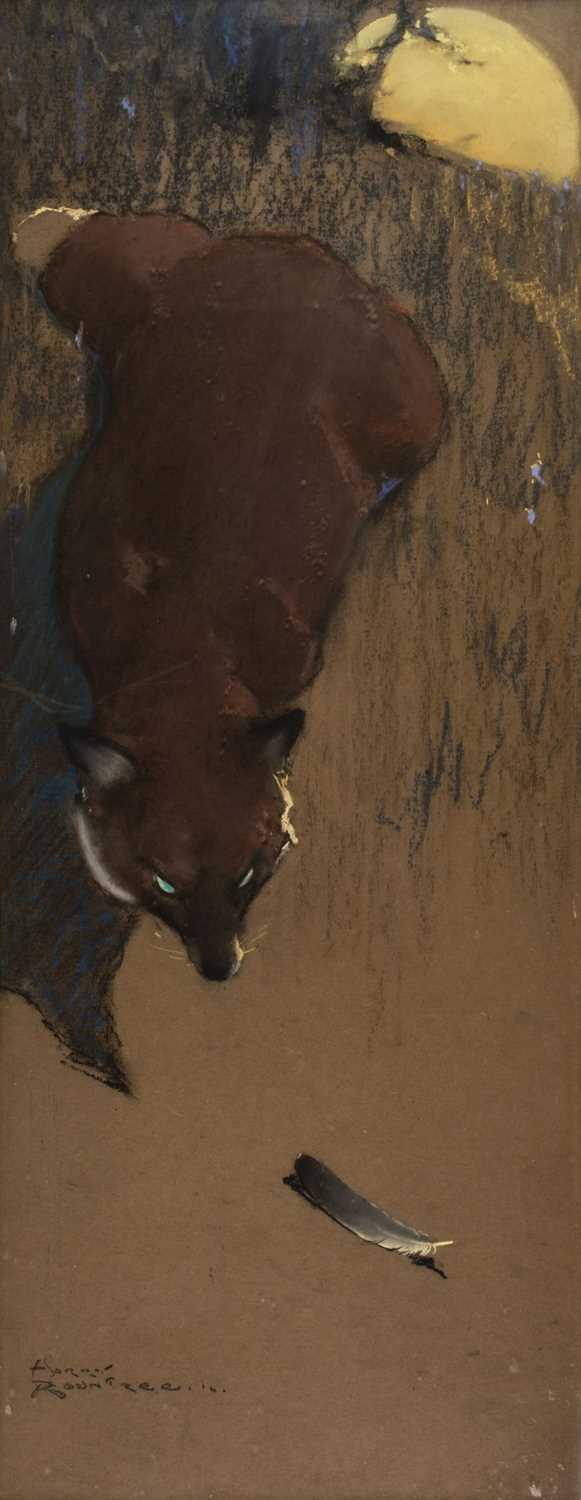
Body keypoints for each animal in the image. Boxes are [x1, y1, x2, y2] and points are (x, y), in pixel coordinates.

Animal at [16, 210, 444, 988]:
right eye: (161, 882)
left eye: (250, 872)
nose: (220, 971)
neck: (182, 646)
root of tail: (291, 256)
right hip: (93, 301)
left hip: (414, 425)